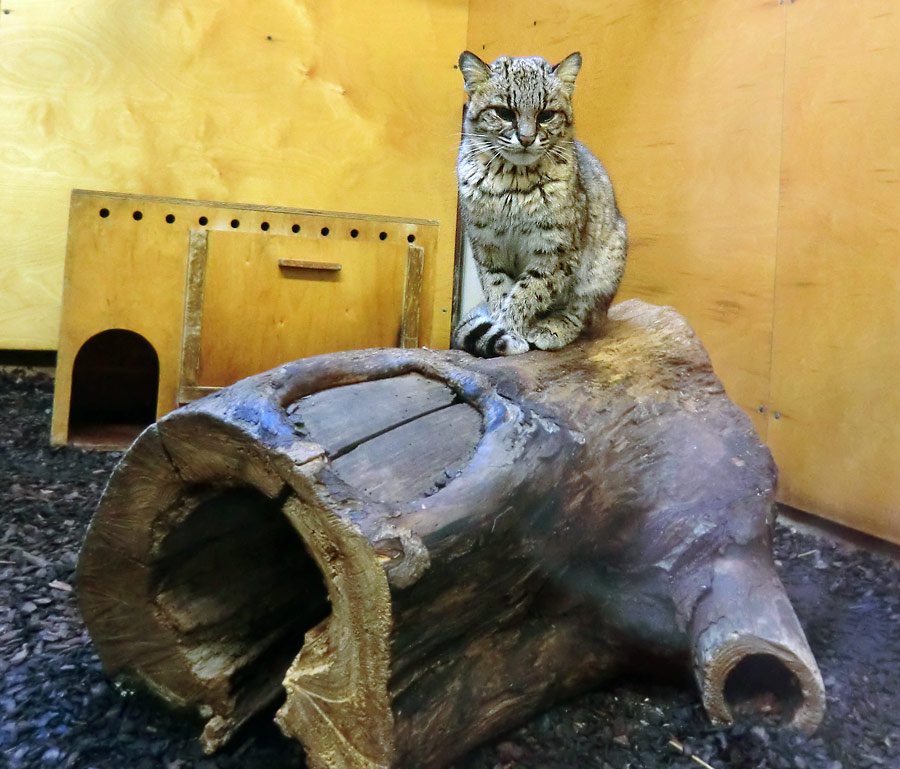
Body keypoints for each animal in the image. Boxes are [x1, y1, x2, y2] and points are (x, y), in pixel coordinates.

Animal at [450, 51, 624, 356]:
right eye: (504, 112)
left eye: (546, 115)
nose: (527, 138)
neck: (512, 185)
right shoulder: (486, 246)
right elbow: (497, 288)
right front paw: (503, 328)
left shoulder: (556, 249)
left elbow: (530, 290)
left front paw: (511, 327)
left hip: (605, 267)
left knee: (584, 312)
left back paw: (553, 327)